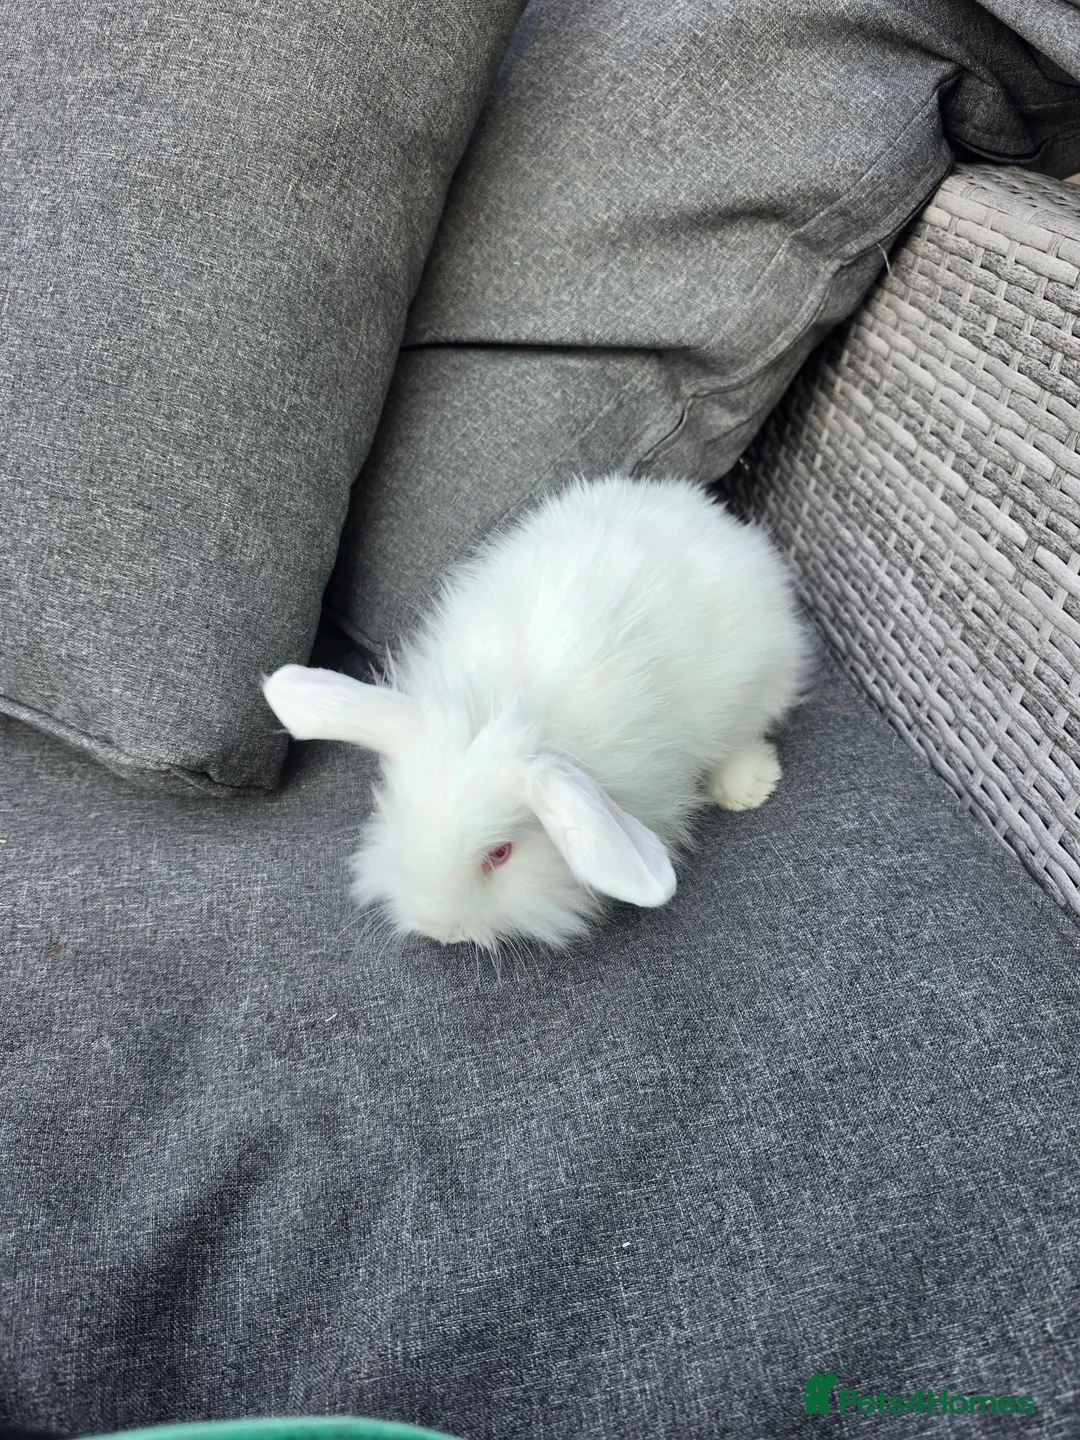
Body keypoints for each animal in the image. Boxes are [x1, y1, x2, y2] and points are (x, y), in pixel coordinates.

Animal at [262, 474, 813, 950]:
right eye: (392, 810)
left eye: (500, 855)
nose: (440, 930)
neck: (499, 708)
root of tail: (715, 515)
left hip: (760, 677)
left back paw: (748, 787)